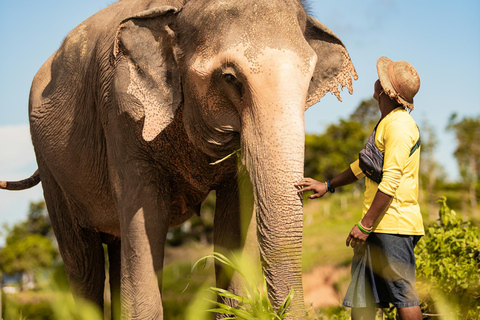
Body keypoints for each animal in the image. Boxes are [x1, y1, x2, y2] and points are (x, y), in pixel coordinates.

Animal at [0, 0, 356, 318]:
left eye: (310, 79)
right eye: (230, 78)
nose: (306, 186)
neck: (180, 9)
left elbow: (233, 224)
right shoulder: (120, 114)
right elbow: (146, 220)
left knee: (117, 249)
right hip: (51, 170)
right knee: (83, 262)